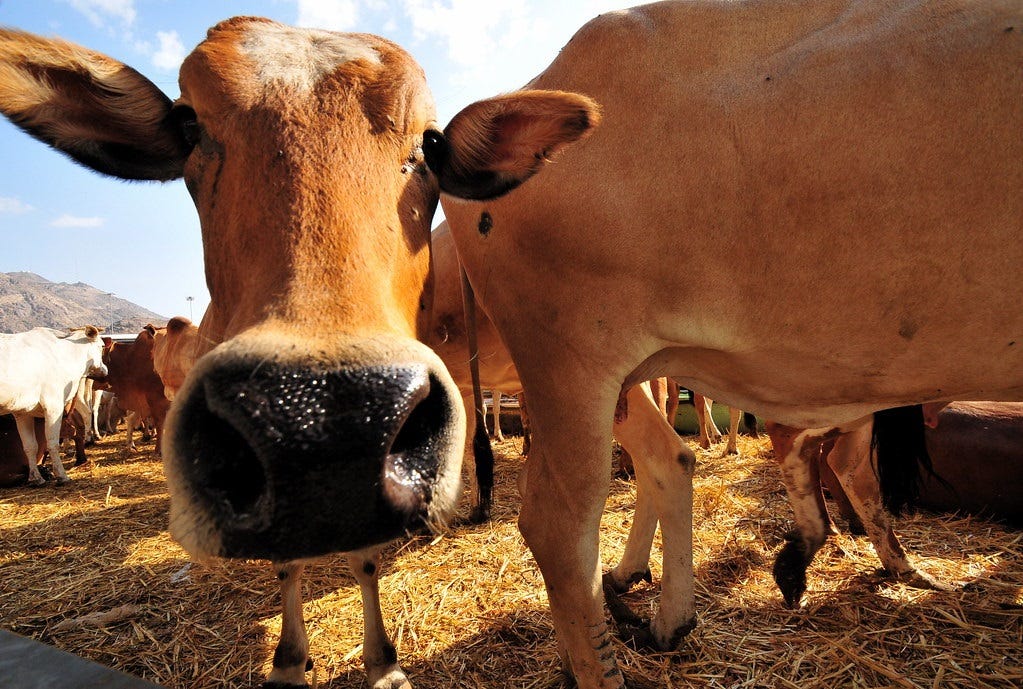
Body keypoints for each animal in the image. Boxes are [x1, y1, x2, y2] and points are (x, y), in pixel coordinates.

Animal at [0, 327, 107, 486]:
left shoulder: (22, 412)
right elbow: (52, 444)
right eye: (102, 346)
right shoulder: (53, 406)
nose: (105, 370)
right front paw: (62, 476)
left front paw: (36, 478)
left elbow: (30, 446)